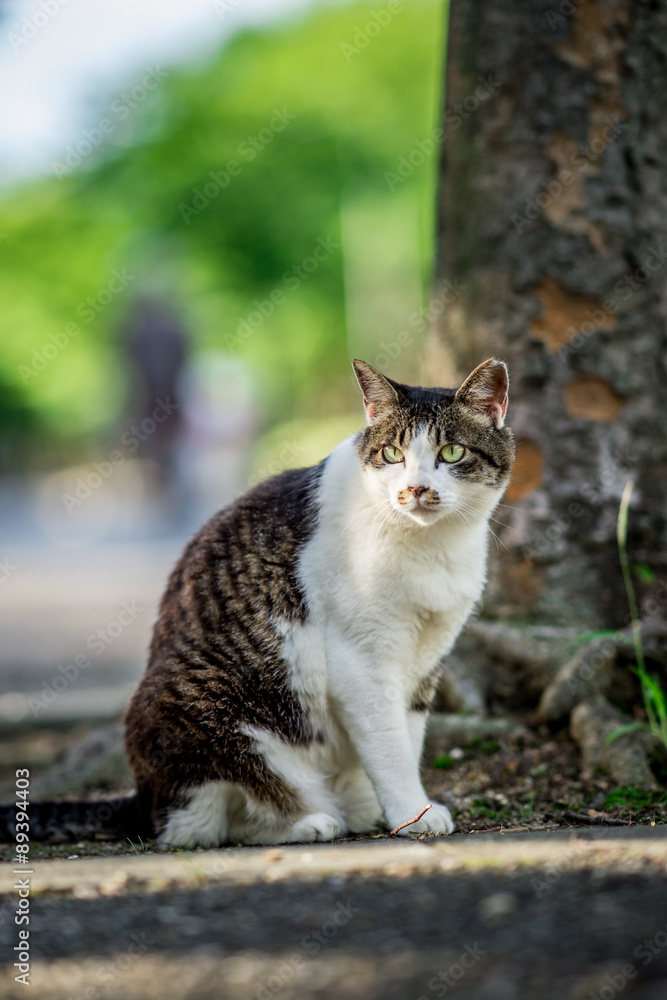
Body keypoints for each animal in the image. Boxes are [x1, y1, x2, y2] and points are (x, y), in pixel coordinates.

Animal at [0, 358, 516, 844]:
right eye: (392, 454)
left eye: (451, 452)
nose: (415, 489)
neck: (432, 548)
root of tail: (142, 798)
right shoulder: (362, 661)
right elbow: (390, 747)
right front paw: (413, 814)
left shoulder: (427, 660)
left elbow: (408, 739)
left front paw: (409, 807)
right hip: (202, 710)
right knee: (205, 824)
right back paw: (311, 821)